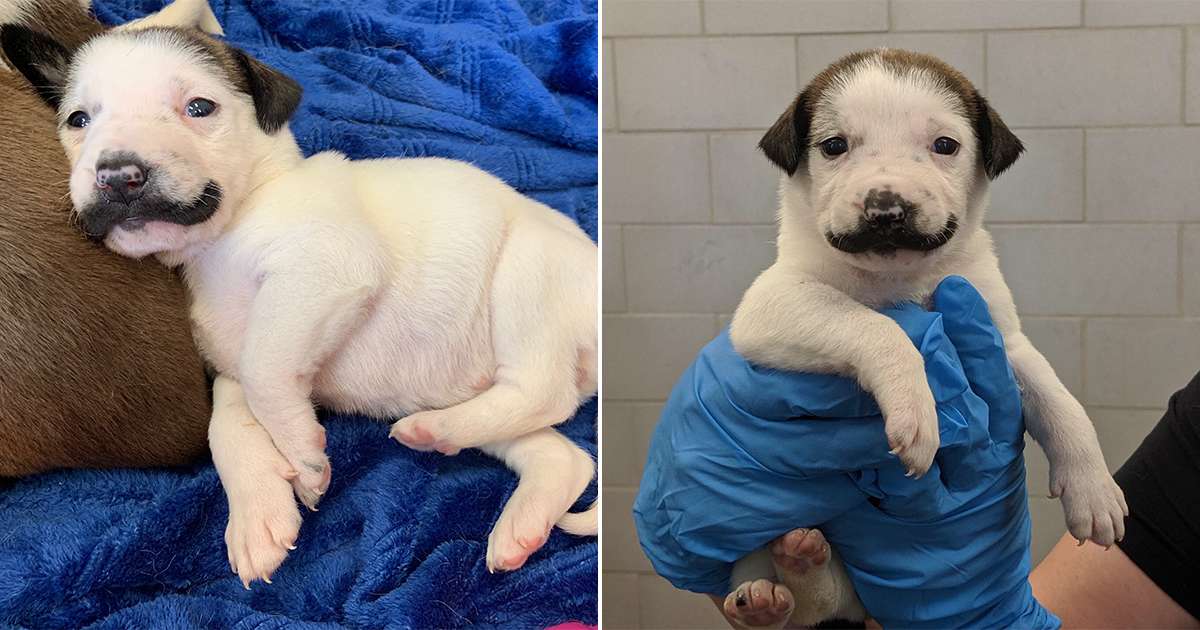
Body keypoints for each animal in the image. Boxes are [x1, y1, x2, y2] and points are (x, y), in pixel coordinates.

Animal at [720, 50, 1132, 628]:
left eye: (945, 145)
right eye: (834, 146)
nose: (886, 209)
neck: (899, 277)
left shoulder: (1002, 338)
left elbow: (1059, 402)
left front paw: (1093, 488)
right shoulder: (771, 305)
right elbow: (876, 326)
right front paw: (915, 409)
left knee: (825, 595)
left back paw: (801, 564)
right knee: (798, 601)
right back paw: (764, 594)